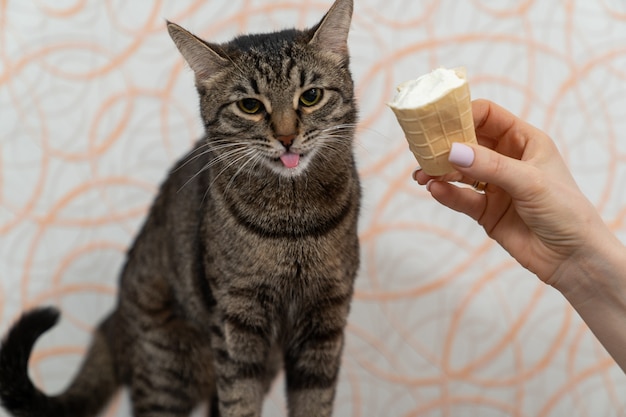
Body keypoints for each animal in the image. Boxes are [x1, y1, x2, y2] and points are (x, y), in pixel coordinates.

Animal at [0, 0, 360, 414]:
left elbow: (314, 399)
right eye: (250, 106)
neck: (293, 223)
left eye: (311, 96)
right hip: (166, 370)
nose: (286, 137)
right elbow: (240, 398)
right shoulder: (236, 319)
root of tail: (114, 319)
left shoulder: (326, 317)